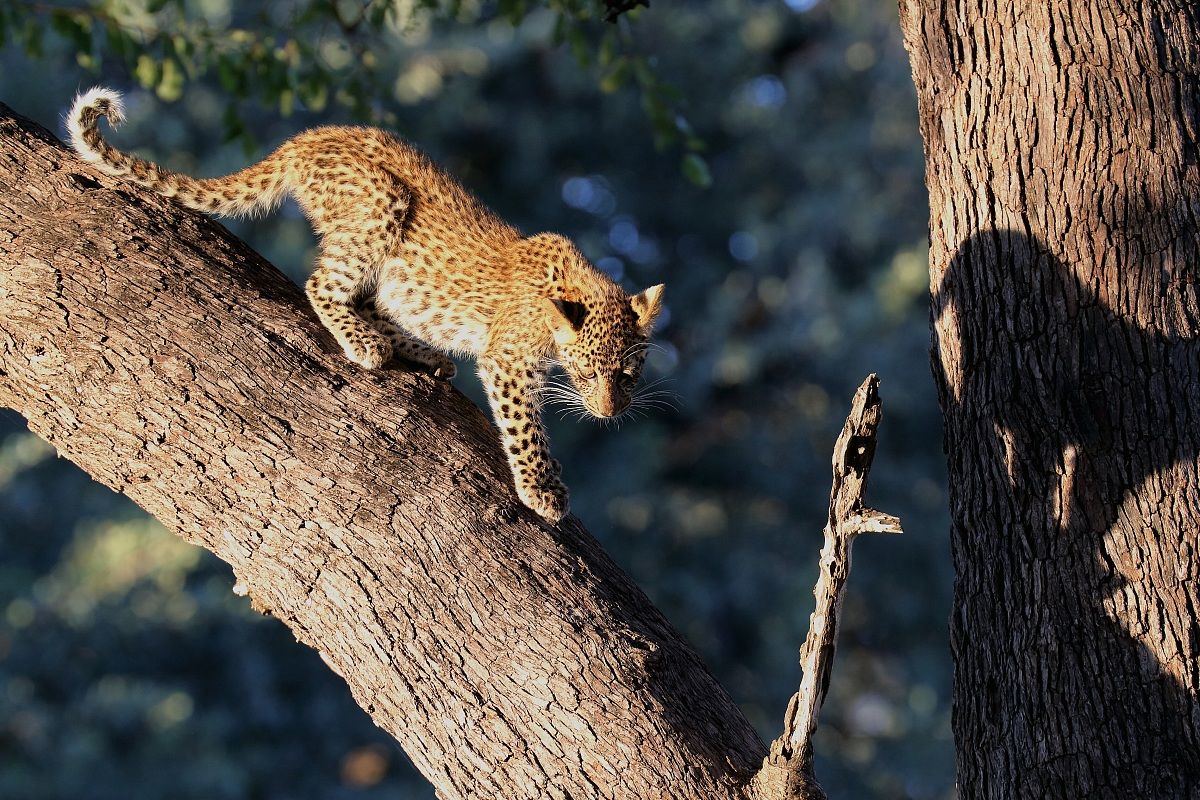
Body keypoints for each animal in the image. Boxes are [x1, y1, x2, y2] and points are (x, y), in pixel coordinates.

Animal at [67, 87, 665, 523]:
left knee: (374, 298)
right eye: (588, 374)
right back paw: (367, 346)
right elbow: (525, 428)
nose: (610, 412)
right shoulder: (509, 362)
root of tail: (308, 136)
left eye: (628, 375)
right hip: (382, 202)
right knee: (323, 285)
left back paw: (420, 352)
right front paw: (542, 488)